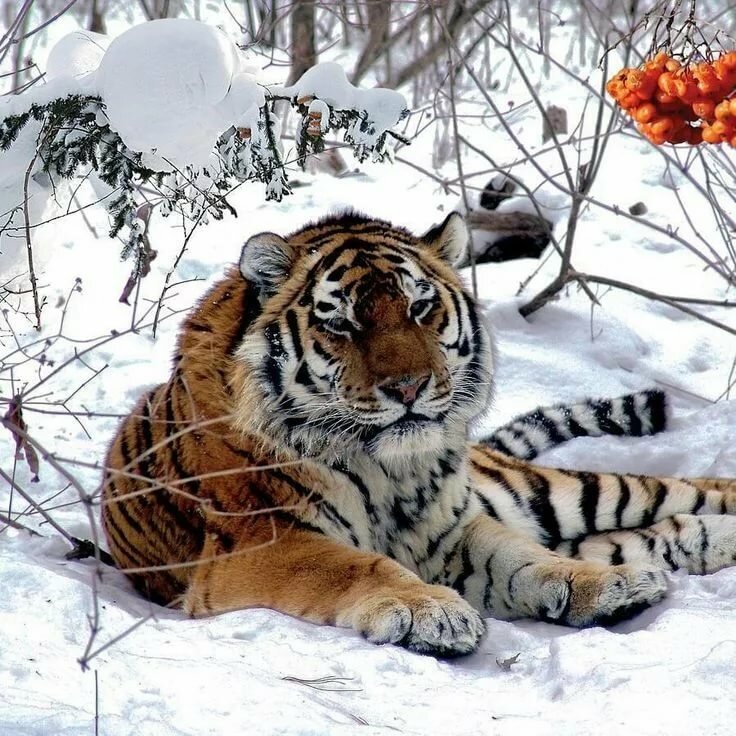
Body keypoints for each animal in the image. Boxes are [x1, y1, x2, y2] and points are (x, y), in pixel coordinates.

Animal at [101, 212, 736, 657]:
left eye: (420, 307)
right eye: (341, 321)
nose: (408, 386)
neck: (390, 469)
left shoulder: (452, 529)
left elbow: (524, 556)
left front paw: (605, 586)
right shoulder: (260, 543)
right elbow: (353, 564)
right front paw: (432, 611)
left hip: (558, 493)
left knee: (679, 495)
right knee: (660, 529)